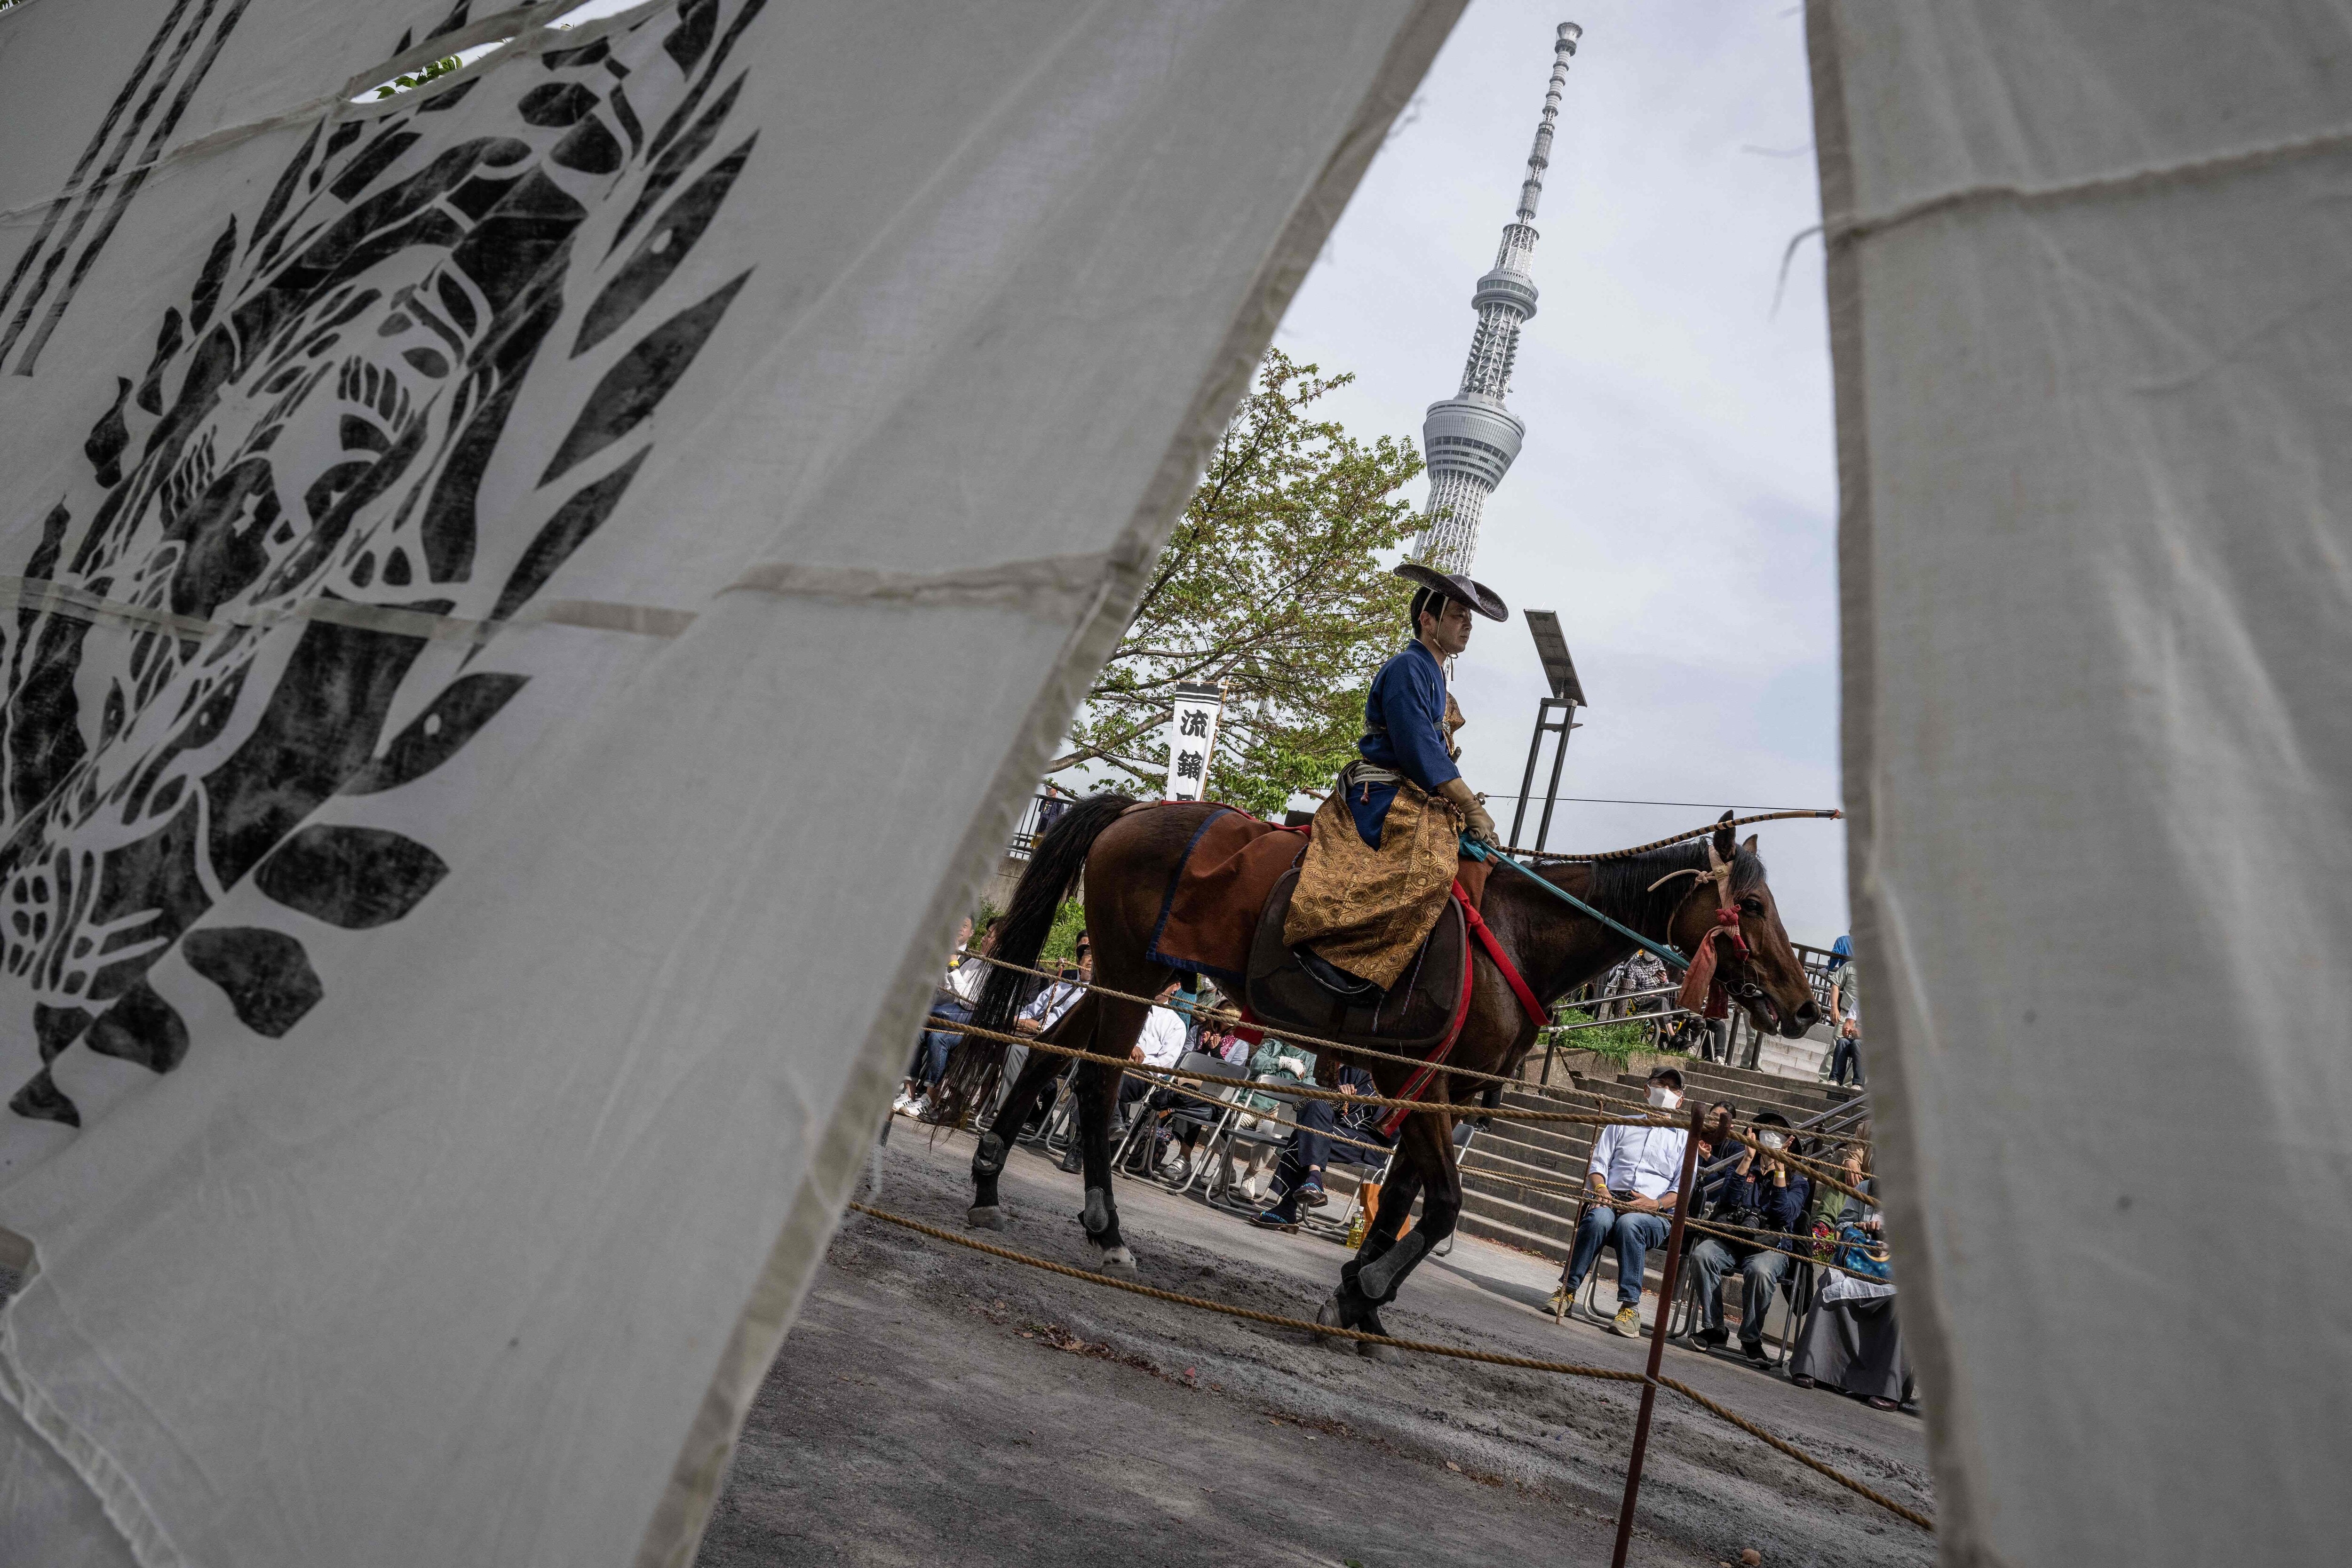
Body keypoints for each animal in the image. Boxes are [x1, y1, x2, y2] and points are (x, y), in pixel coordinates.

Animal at [955, 799, 1816, 1354]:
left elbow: (1401, 1199)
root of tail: (1136, 810)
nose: (1805, 1006)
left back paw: (992, 1183)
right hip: (1132, 973)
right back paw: (1105, 1229)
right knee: (1097, 1081)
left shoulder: (1442, 1091)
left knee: (1049, 1053)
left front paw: (1356, 1295)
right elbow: (1443, 1205)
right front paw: (1364, 1291)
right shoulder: (1425, 1082)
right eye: (1752, 902)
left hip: (1127, 974)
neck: (1519, 933)